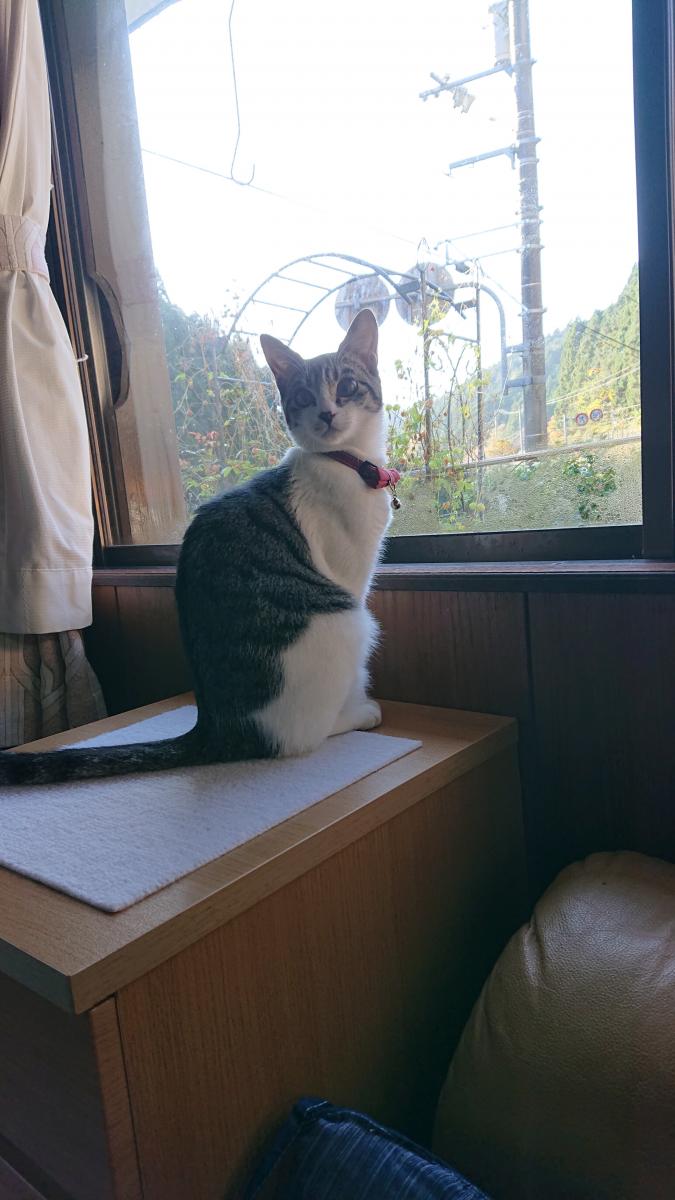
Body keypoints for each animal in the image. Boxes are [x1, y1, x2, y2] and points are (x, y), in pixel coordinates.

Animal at [0, 309, 395, 786]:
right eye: (302, 395)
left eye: (347, 387)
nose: (326, 412)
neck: (345, 462)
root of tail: (216, 727)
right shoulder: (352, 577)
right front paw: (360, 702)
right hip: (347, 619)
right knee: (300, 736)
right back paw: (356, 715)